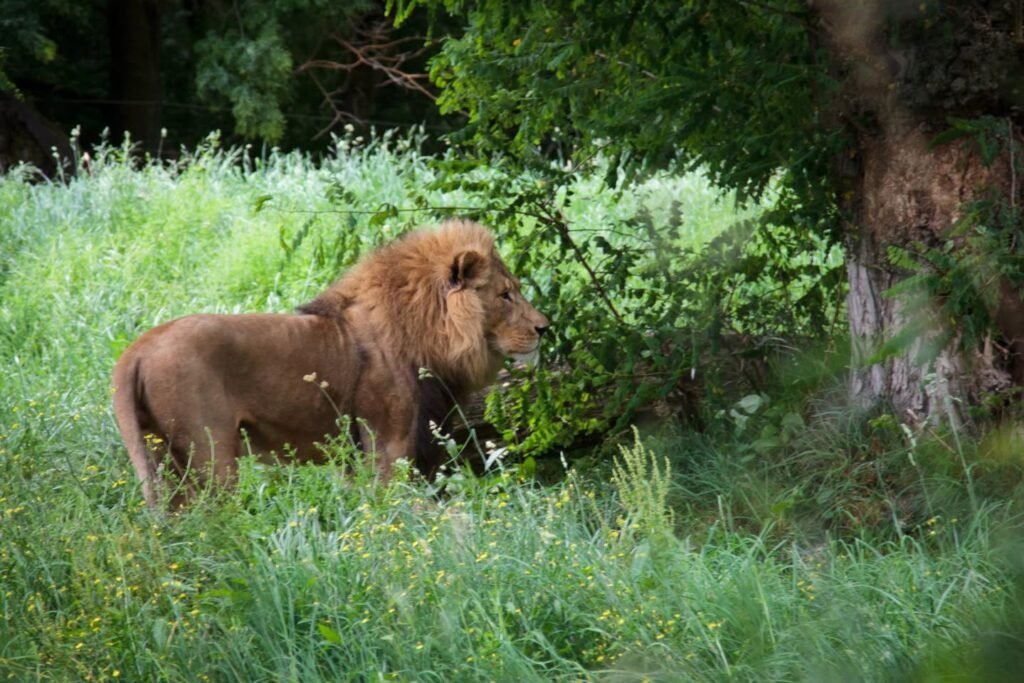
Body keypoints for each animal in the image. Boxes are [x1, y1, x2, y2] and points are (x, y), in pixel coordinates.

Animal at [112, 220, 549, 508]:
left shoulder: (360, 456)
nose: (545, 328)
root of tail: (137, 350)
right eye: (505, 295)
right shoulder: (387, 444)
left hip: (162, 456)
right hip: (210, 455)